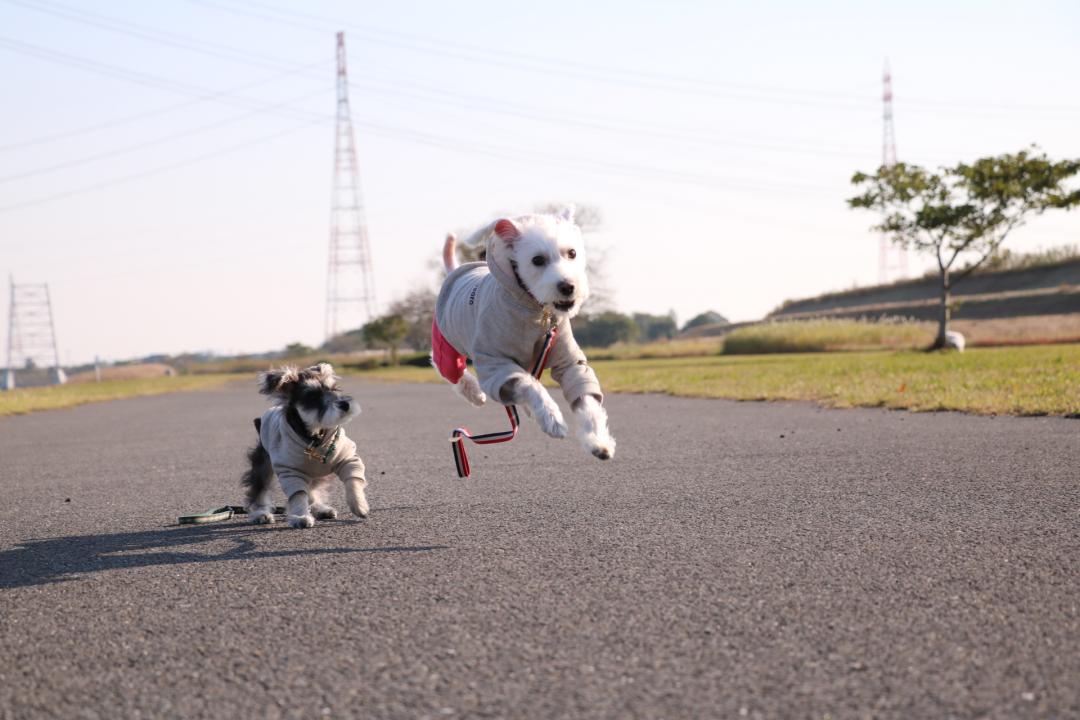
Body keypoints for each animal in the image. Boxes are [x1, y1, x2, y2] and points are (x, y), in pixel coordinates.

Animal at [239, 367, 367, 528]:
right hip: (264, 464)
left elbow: (353, 480)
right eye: (312, 396)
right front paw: (301, 517)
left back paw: (320, 509)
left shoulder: (348, 458)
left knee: (312, 490)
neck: (315, 436)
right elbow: (299, 494)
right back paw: (260, 513)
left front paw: (359, 505)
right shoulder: (291, 471)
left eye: (334, 388)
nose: (345, 405)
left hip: (314, 473)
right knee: (260, 488)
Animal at [429, 205, 617, 459]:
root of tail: (455, 271)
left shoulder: (569, 362)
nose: (568, 286)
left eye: (572, 253)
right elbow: (530, 385)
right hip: (447, 345)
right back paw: (475, 393)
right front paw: (552, 419)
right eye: (537, 260)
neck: (538, 312)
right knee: (447, 367)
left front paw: (598, 441)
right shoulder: (496, 365)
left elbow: (587, 401)